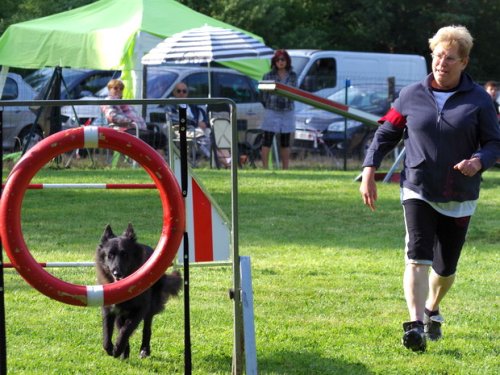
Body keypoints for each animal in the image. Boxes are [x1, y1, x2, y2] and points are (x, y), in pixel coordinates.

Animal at [95, 225, 182, 360]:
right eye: (110, 255)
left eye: (125, 254)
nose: (117, 273)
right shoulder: (109, 309)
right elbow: (109, 332)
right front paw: (114, 349)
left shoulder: (140, 309)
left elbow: (126, 330)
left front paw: (118, 349)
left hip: (150, 308)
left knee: (147, 328)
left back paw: (144, 350)